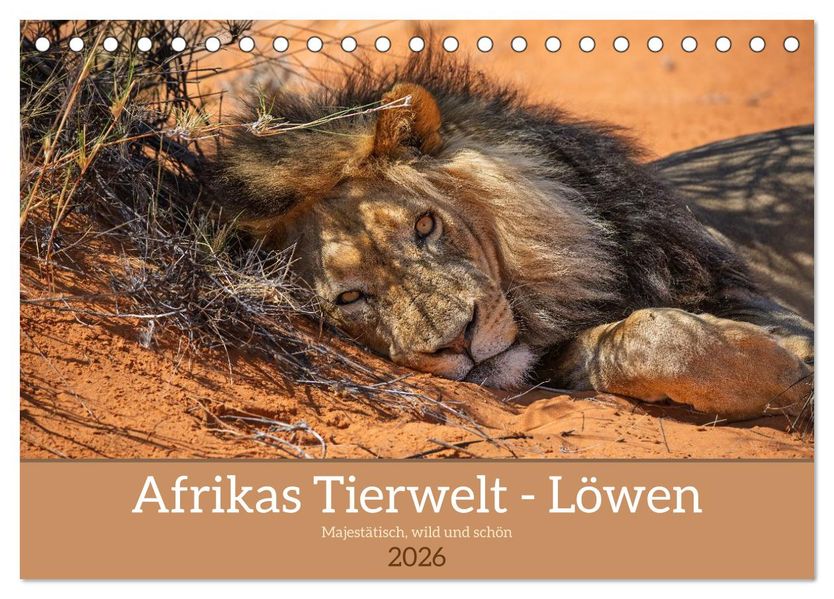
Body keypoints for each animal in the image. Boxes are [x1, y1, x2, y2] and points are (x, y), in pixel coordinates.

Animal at [216, 55, 813, 421]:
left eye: (425, 225)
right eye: (350, 297)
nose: (459, 340)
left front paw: (795, 363)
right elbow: (639, 340)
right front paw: (788, 371)